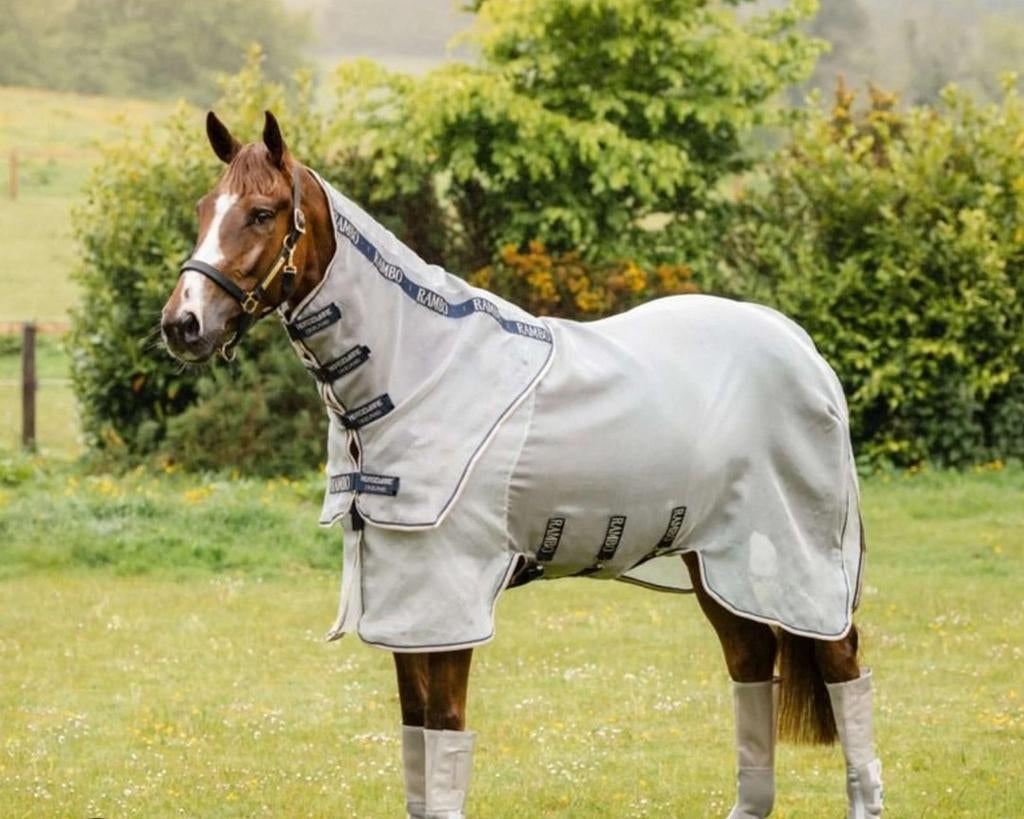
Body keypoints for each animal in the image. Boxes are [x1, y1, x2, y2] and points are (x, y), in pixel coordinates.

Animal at [160, 111, 883, 819]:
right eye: (203, 209)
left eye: (261, 212)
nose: (182, 323)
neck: (419, 368)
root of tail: (800, 345)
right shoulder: (404, 604)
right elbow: (417, 744)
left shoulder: (449, 601)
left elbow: (445, 742)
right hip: (717, 563)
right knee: (751, 663)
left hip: (803, 561)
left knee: (843, 666)